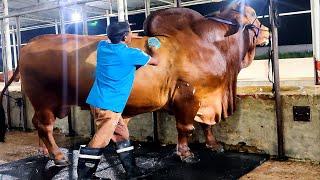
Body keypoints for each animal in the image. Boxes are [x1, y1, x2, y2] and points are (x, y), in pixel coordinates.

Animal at [0, 1, 270, 165]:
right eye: (252, 16)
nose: (267, 31)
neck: (212, 45)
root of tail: (31, 44)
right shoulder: (188, 96)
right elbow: (186, 128)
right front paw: (186, 154)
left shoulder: (206, 98)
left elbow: (206, 125)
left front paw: (213, 145)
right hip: (45, 101)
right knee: (44, 127)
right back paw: (58, 156)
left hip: (45, 103)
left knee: (38, 125)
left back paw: (46, 152)